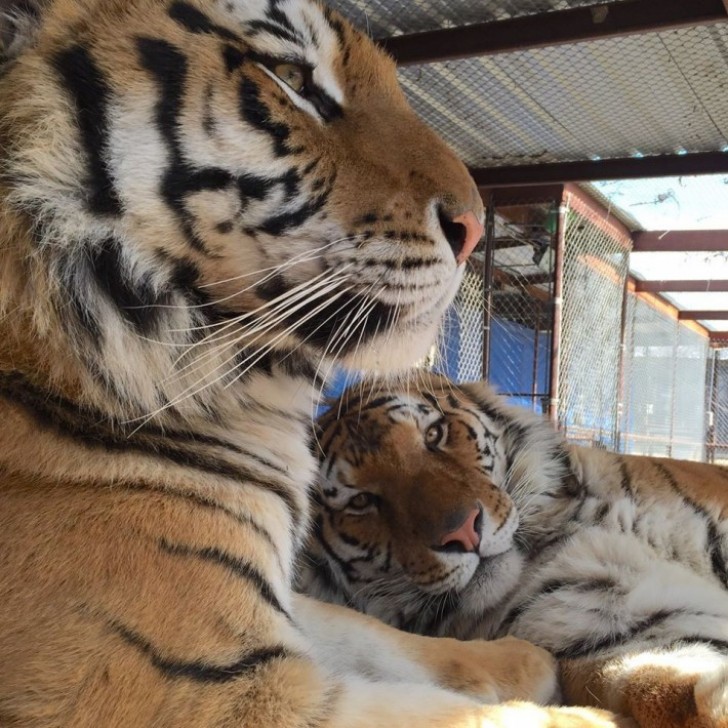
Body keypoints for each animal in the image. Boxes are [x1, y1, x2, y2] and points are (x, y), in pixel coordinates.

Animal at [298, 372, 728, 724]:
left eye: (435, 435)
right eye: (360, 501)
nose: (464, 533)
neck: (556, 531)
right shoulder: (625, 633)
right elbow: (667, 688)